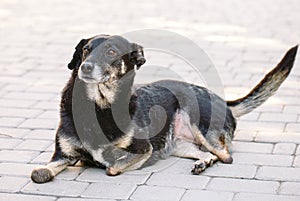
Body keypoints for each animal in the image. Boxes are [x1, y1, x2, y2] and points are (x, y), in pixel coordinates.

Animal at [30, 33, 298, 183]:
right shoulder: (62, 155)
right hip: (178, 144)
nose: (85, 67)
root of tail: (223, 100)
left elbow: (112, 166)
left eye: (111, 52)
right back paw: (202, 163)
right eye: (86, 50)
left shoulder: (143, 148)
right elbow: (38, 173)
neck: (98, 105)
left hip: (197, 118)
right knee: (207, 153)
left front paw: (103, 161)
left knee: (226, 155)